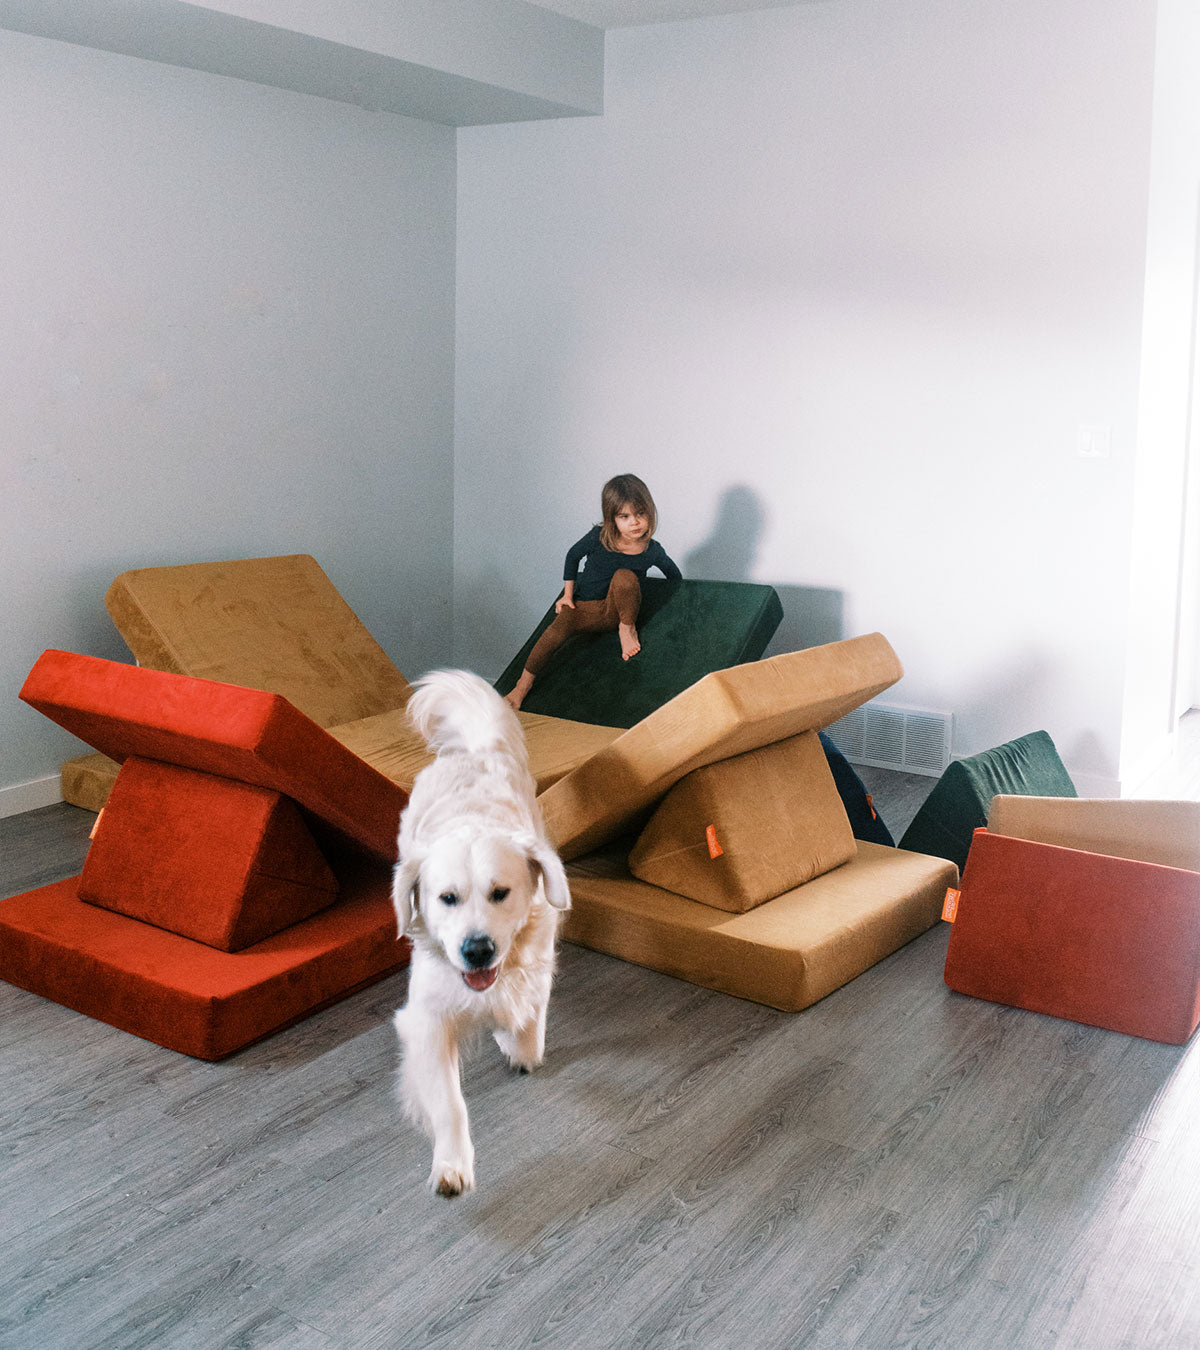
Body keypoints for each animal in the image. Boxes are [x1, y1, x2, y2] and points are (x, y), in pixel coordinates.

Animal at [386, 669, 569, 1198]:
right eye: (446, 898)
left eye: (500, 893)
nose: (477, 949)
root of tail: (475, 749)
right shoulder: (426, 1019)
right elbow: (449, 1104)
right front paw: (452, 1164)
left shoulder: (535, 975)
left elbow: (528, 1035)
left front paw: (512, 1039)